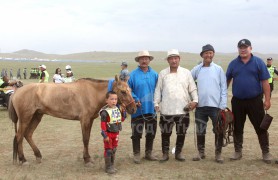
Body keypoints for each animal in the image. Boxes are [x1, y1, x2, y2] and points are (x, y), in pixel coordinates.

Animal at [7, 75, 136, 165]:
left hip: (36, 116)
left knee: (27, 134)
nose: (134, 108)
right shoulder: (84, 120)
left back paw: (38, 155)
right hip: (25, 118)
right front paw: (87, 160)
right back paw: (23, 159)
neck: (92, 93)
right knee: (19, 136)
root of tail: (16, 92)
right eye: (123, 91)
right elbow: (85, 139)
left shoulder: (90, 120)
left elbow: (87, 139)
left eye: (130, 90)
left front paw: (87, 158)